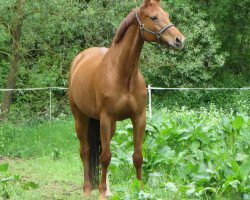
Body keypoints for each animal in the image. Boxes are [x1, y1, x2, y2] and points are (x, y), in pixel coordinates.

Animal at [68, 0, 184, 198]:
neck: (123, 75)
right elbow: (106, 157)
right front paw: (100, 194)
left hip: (107, 124)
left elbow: (137, 156)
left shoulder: (139, 118)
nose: (179, 40)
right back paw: (88, 189)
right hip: (80, 118)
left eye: (167, 15)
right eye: (154, 17)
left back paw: (108, 189)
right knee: (86, 151)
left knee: (101, 149)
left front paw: (140, 189)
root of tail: (80, 58)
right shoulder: (106, 118)